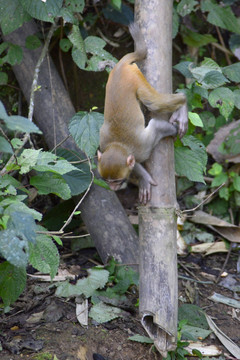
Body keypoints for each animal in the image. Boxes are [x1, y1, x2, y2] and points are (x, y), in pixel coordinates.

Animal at [97, 23, 188, 204]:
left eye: (116, 181)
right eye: (107, 181)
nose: (113, 188)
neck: (118, 144)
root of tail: (121, 66)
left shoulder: (143, 147)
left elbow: (157, 127)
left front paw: (173, 130)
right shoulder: (105, 145)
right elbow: (135, 164)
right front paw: (143, 177)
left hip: (135, 78)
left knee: (154, 102)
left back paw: (182, 102)